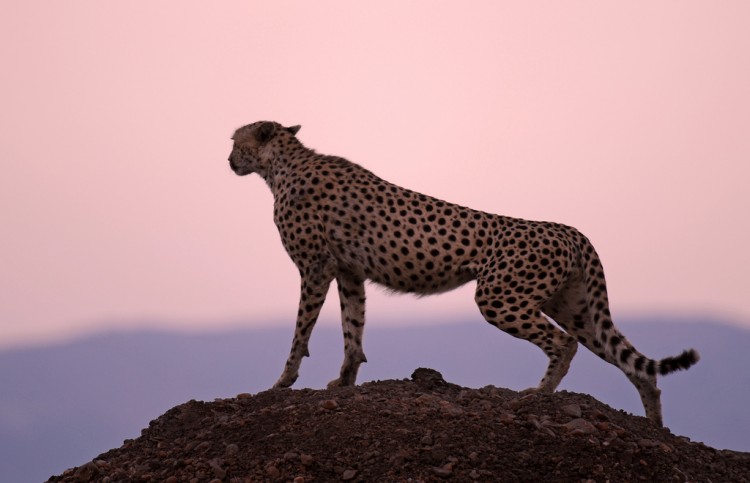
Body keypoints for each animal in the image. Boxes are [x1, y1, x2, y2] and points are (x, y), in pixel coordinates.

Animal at [228, 120, 699, 427]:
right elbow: (353, 330)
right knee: (635, 364)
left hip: (499, 297)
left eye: (235, 140)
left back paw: (539, 395)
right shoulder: (349, 272)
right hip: (574, 307)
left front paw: (283, 382)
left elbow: (301, 332)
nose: (228, 159)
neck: (281, 164)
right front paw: (344, 381)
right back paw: (656, 426)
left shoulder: (316, 268)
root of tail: (570, 229)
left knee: (563, 343)